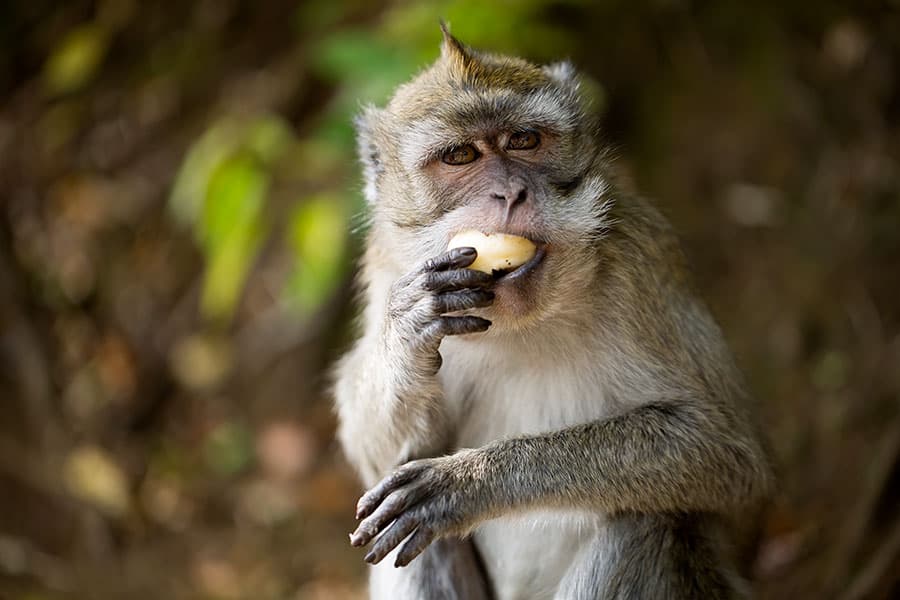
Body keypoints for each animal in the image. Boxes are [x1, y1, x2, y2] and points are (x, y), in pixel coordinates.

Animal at [332, 24, 774, 600]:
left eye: (523, 141)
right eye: (459, 156)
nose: (510, 193)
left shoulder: (641, 262)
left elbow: (727, 455)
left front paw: (471, 482)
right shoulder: (388, 269)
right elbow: (380, 463)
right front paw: (409, 331)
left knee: (648, 523)